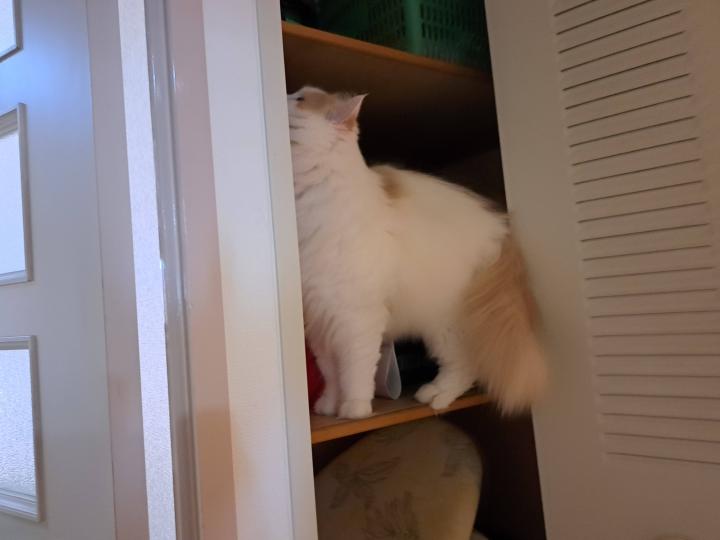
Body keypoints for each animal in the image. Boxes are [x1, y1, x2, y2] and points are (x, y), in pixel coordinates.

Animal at [288, 86, 546, 419]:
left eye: (300, 99)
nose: (285, 92)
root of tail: (500, 228)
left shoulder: (356, 319)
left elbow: (355, 371)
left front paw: (354, 409)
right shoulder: (319, 319)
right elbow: (331, 373)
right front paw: (328, 407)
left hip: (445, 326)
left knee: (465, 367)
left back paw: (436, 396)